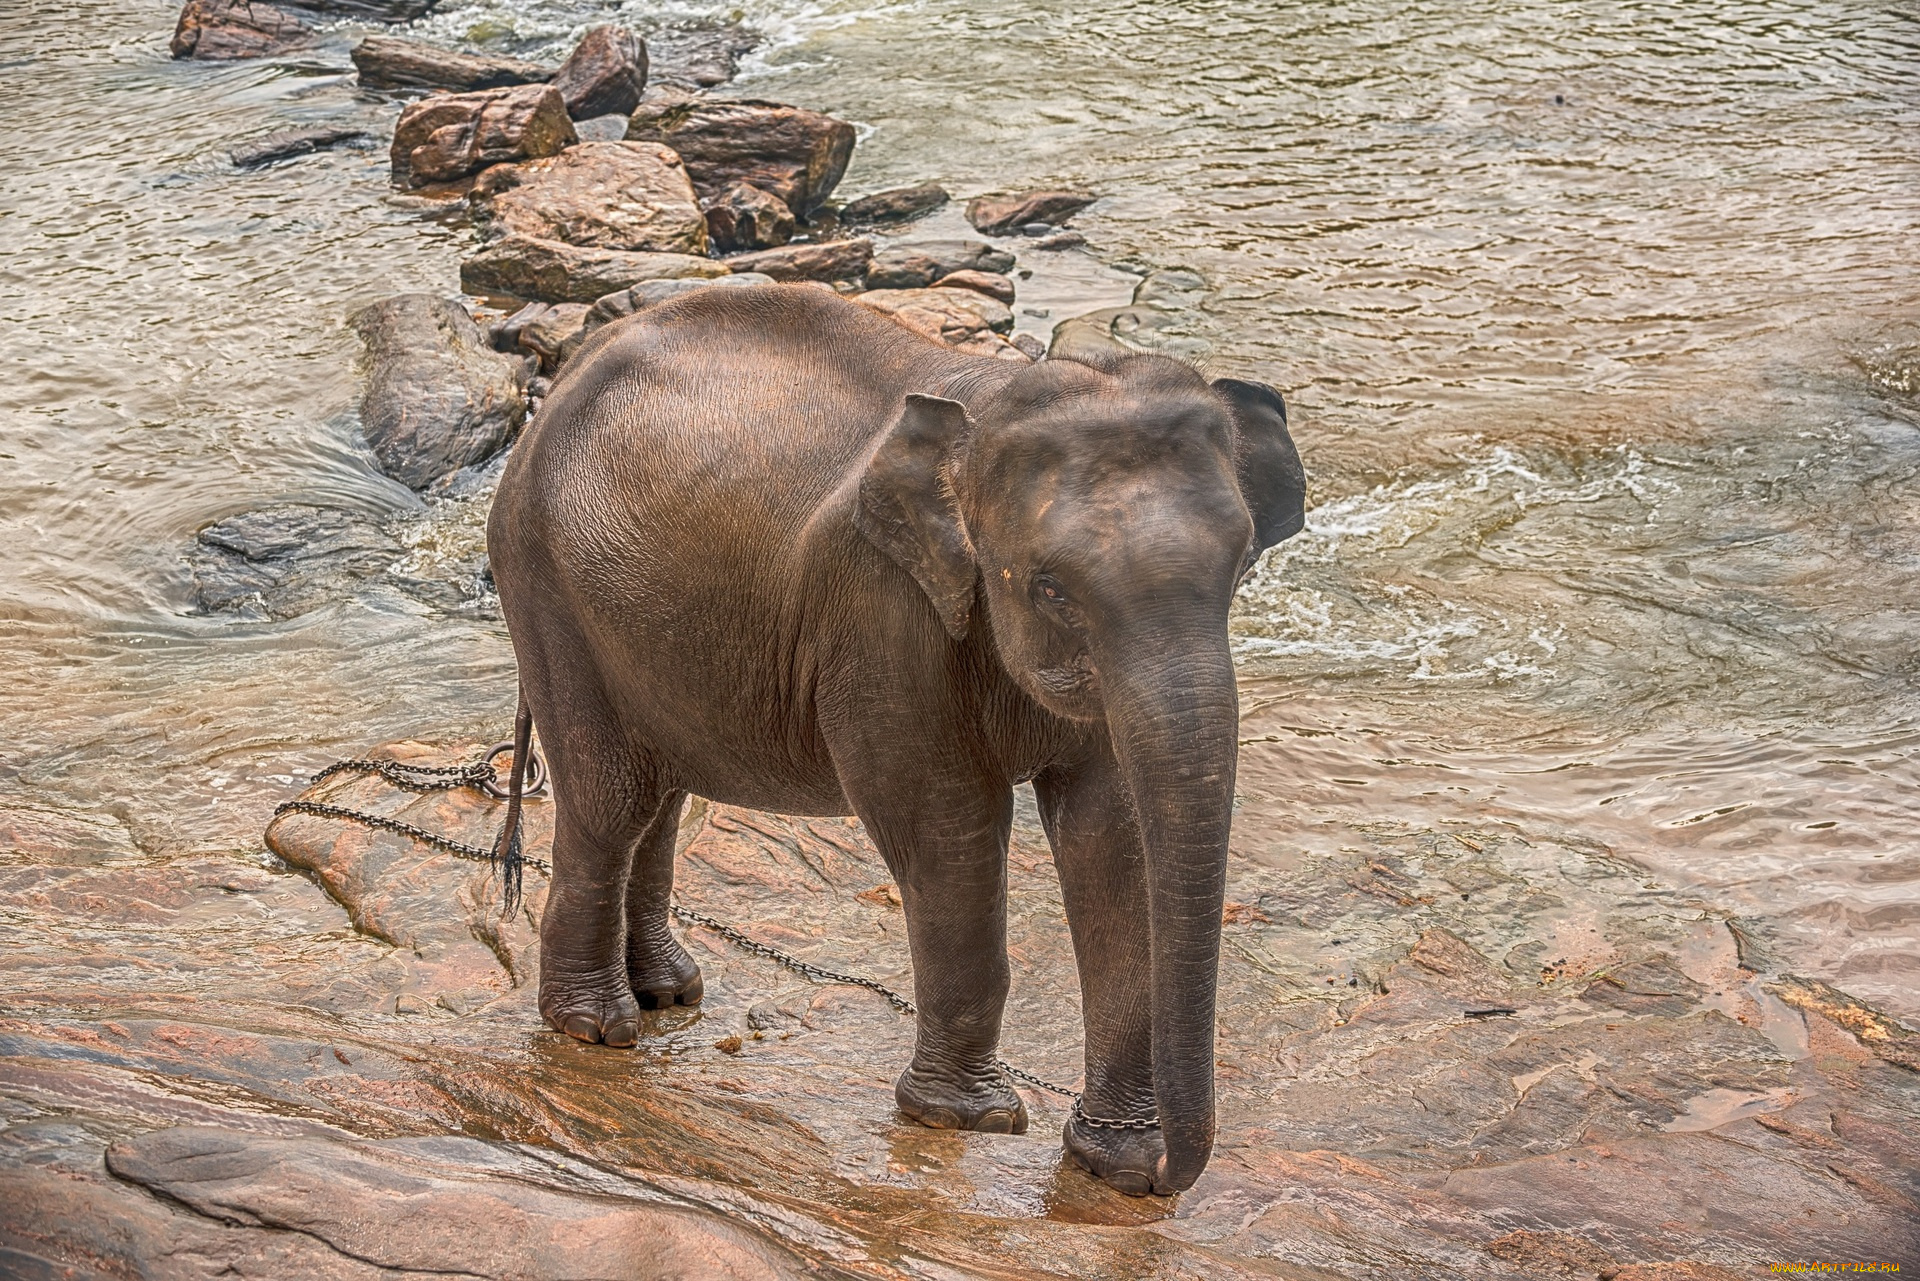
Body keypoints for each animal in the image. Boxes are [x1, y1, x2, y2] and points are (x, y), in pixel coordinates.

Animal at [487, 286, 1313, 1198]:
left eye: (1240, 566)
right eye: (1052, 587)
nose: (1171, 1175)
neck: (986, 405)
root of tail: (559, 387)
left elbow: (1113, 839)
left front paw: (1114, 1162)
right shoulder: (882, 615)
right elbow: (944, 830)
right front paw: (969, 1119)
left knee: (659, 794)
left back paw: (669, 993)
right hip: (544, 584)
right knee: (612, 800)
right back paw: (596, 1027)